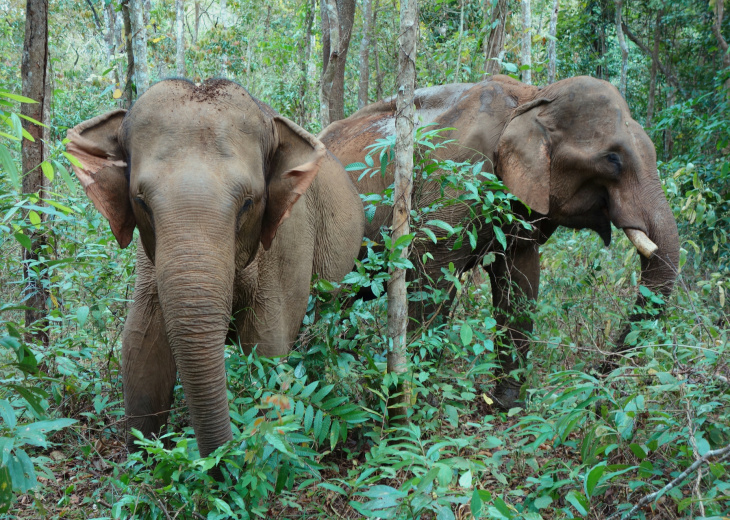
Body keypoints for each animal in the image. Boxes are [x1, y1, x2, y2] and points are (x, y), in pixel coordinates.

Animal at [66, 78, 364, 460]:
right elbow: (142, 342)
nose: (222, 456)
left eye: (248, 203)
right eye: (141, 202)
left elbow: (267, 341)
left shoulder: (289, 236)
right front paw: (146, 458)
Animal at [322, 75, 680, 408]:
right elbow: (431, 273)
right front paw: (420, 404)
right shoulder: (455, 181)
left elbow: (520, 280)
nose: (591, 373)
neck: (532, 97)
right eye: (613, 159)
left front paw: (508, 406)